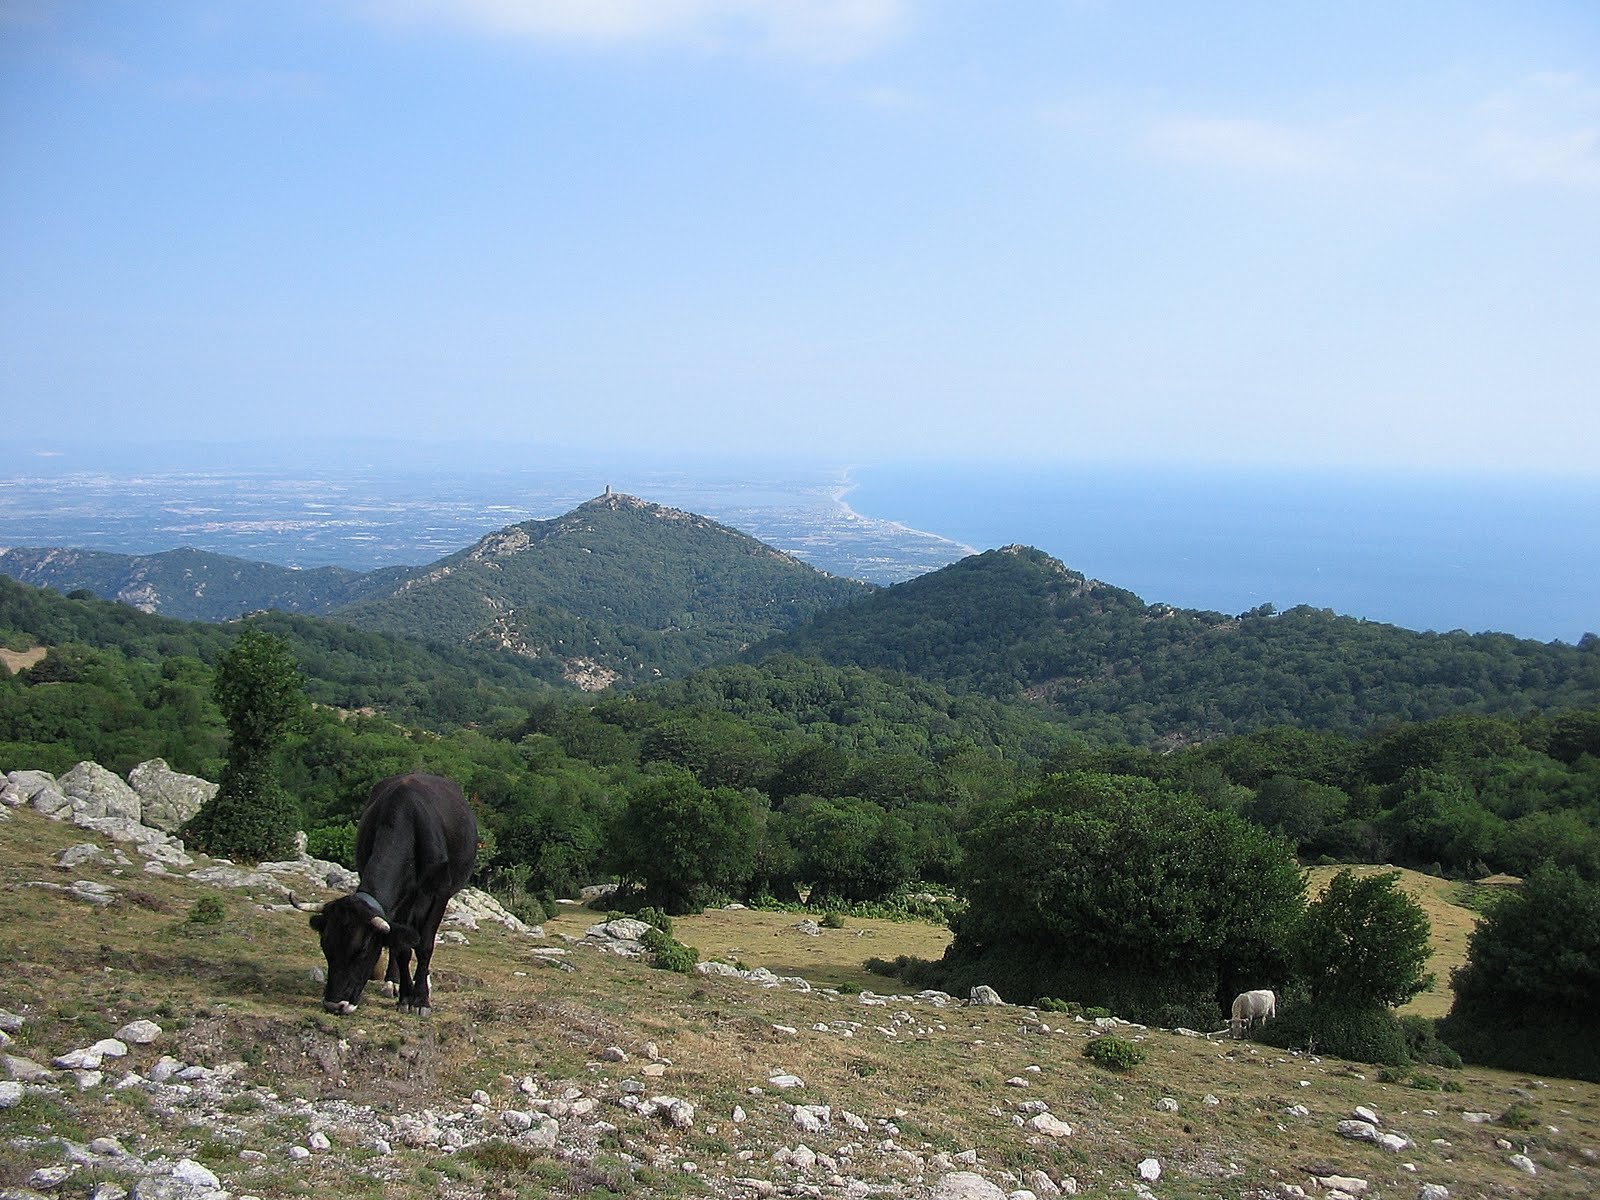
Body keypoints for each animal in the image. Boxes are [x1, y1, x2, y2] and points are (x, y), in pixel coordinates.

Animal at [308, 774, 473, 1017]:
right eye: (326, 947)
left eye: (361, 950)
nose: (334, 1004)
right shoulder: (397, 902)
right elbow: (401, 946)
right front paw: (405, 995)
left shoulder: (439, 893)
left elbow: (424, 945)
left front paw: (421, 999)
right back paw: (392, 982)